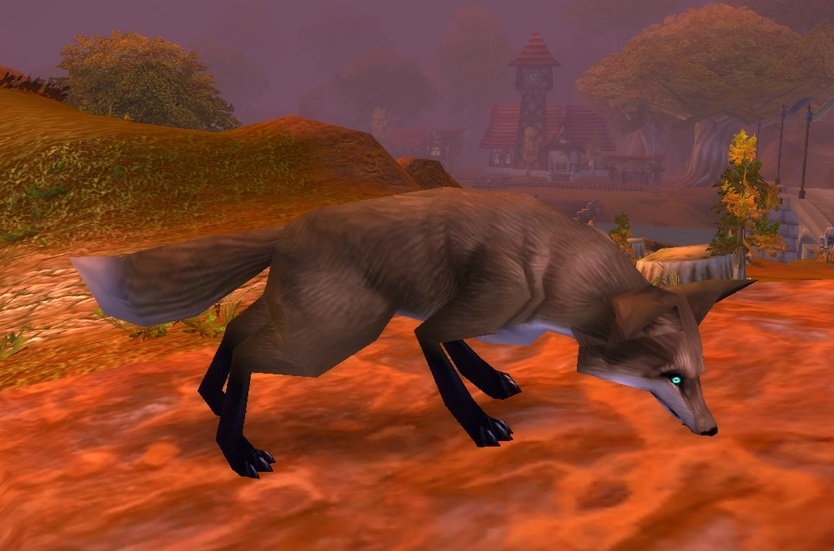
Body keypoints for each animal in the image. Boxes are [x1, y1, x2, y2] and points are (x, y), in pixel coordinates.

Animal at [70, 187, 755, 478]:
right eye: (673, 379)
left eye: (698, 378)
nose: (712, 430)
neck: (558, 273)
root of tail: (289, 227)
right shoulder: (461, 311)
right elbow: (445, 365)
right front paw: (480, 422)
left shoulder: (486, 317)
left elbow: (460, 351)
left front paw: (493, 381)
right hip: (332, 335)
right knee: (249, 350)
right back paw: (236, 447)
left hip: (314, 318)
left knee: (238, 328)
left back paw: (211, 400)